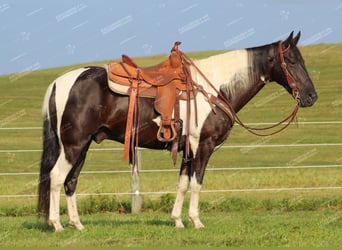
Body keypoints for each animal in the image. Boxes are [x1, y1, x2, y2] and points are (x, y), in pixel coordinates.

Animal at [38, 31, 318, 230]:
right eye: (292, 60)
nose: (311, 97)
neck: (215, 88)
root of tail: (59, 82)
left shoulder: (187, 149)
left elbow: (183, 184)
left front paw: (178, 221)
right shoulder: (203, 145)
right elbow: (197, 183)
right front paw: (196, 221)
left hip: (82, 146)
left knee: (71, 181)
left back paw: (77, 225)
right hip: (73, 145)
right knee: (56, 177)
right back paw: (57, 225)